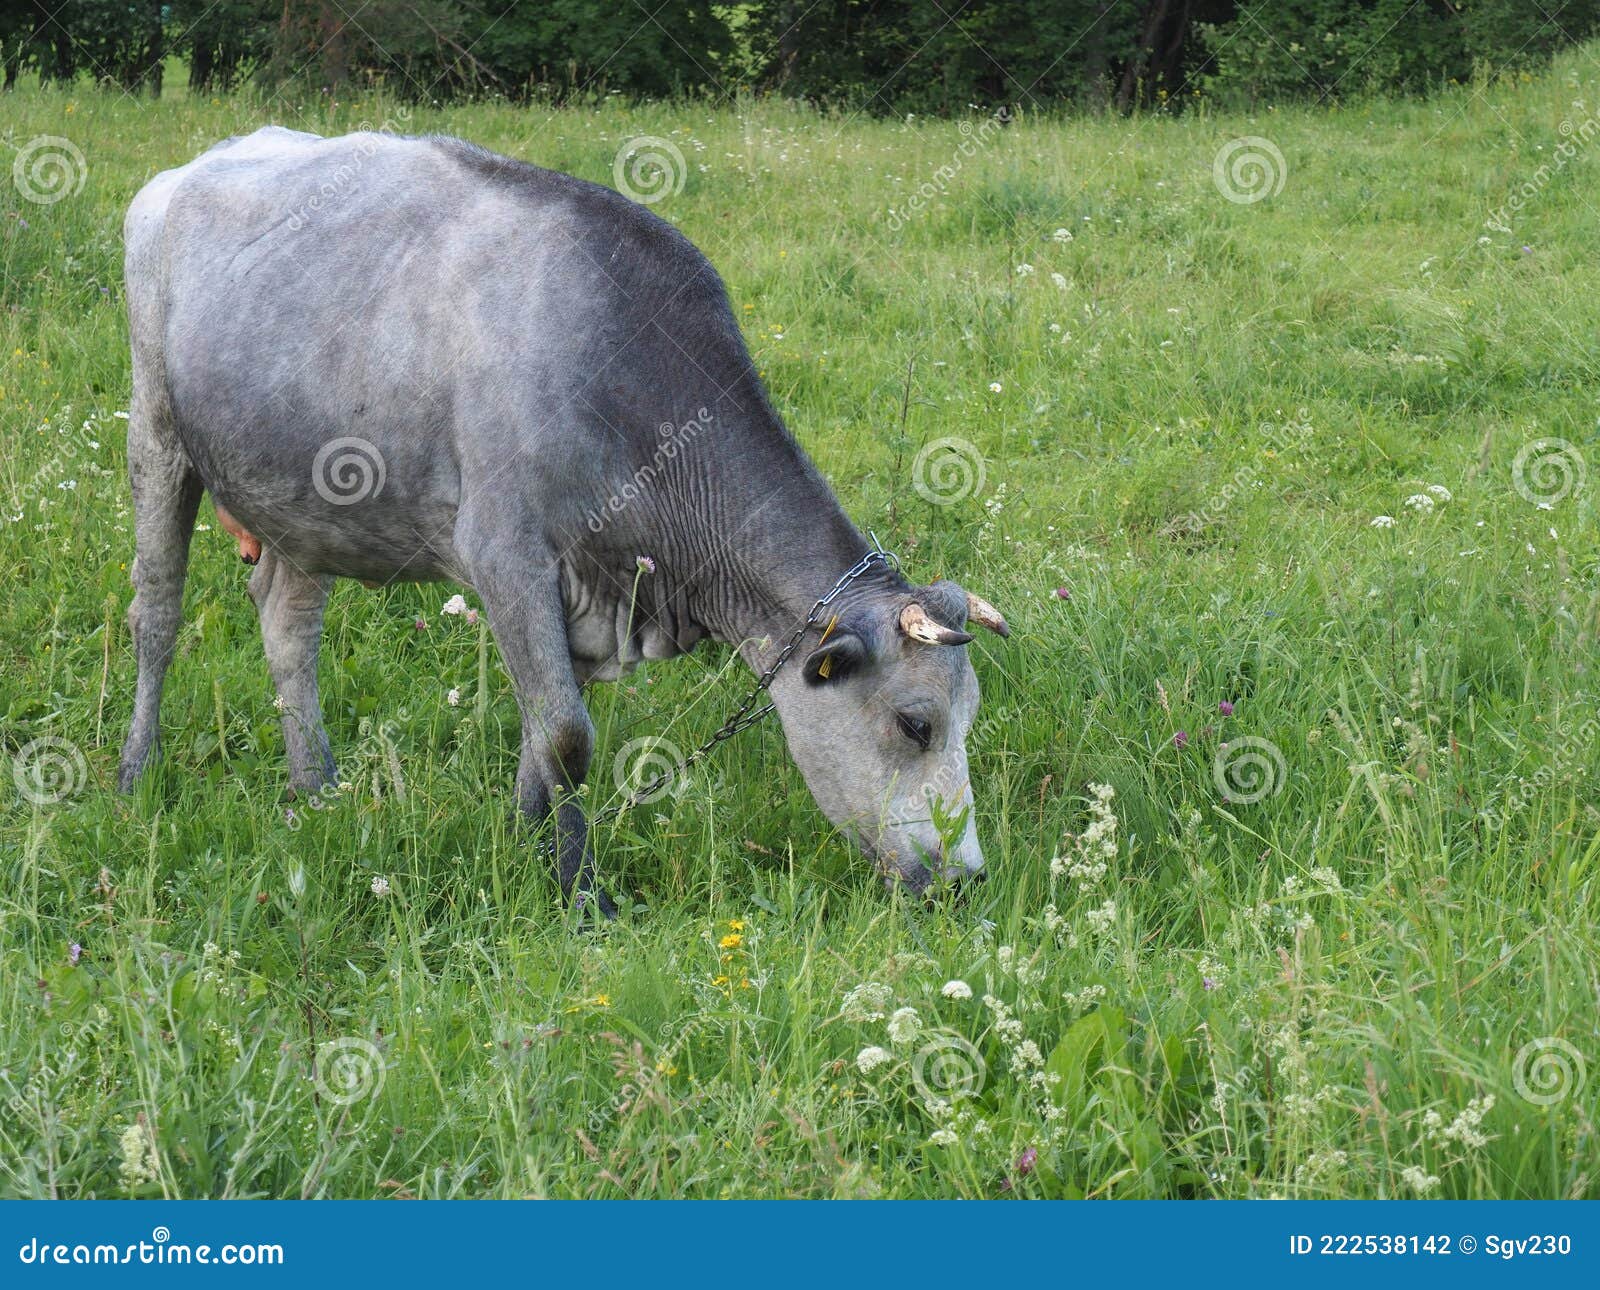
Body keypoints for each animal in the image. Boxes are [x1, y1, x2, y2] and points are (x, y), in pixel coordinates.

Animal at [118, 124, 1004, 909]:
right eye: (915, 724)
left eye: (968, 718)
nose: (966, 881)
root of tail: (191, 167)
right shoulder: (504, 552)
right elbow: (568, 736)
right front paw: (580, 893)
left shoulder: (586, 590)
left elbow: (542, 733)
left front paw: (526, 851)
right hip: (157, 433)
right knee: (156, 614)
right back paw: (136, 771)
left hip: (306, 502)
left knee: (286, 625)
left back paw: (316, 787)